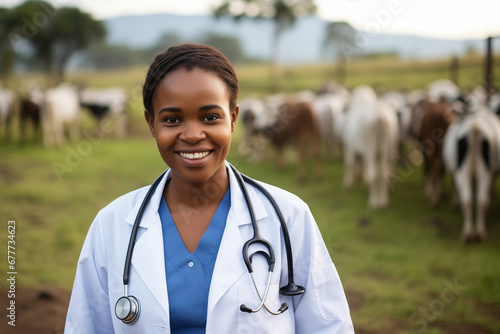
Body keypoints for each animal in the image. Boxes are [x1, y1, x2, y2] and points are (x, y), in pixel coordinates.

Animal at [444, 105, 500, 243]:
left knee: (471, 199)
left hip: (466, 170)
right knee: (478, 199)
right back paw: (476, 233)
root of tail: (475, 127)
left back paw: (471, 233)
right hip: (480, 170)